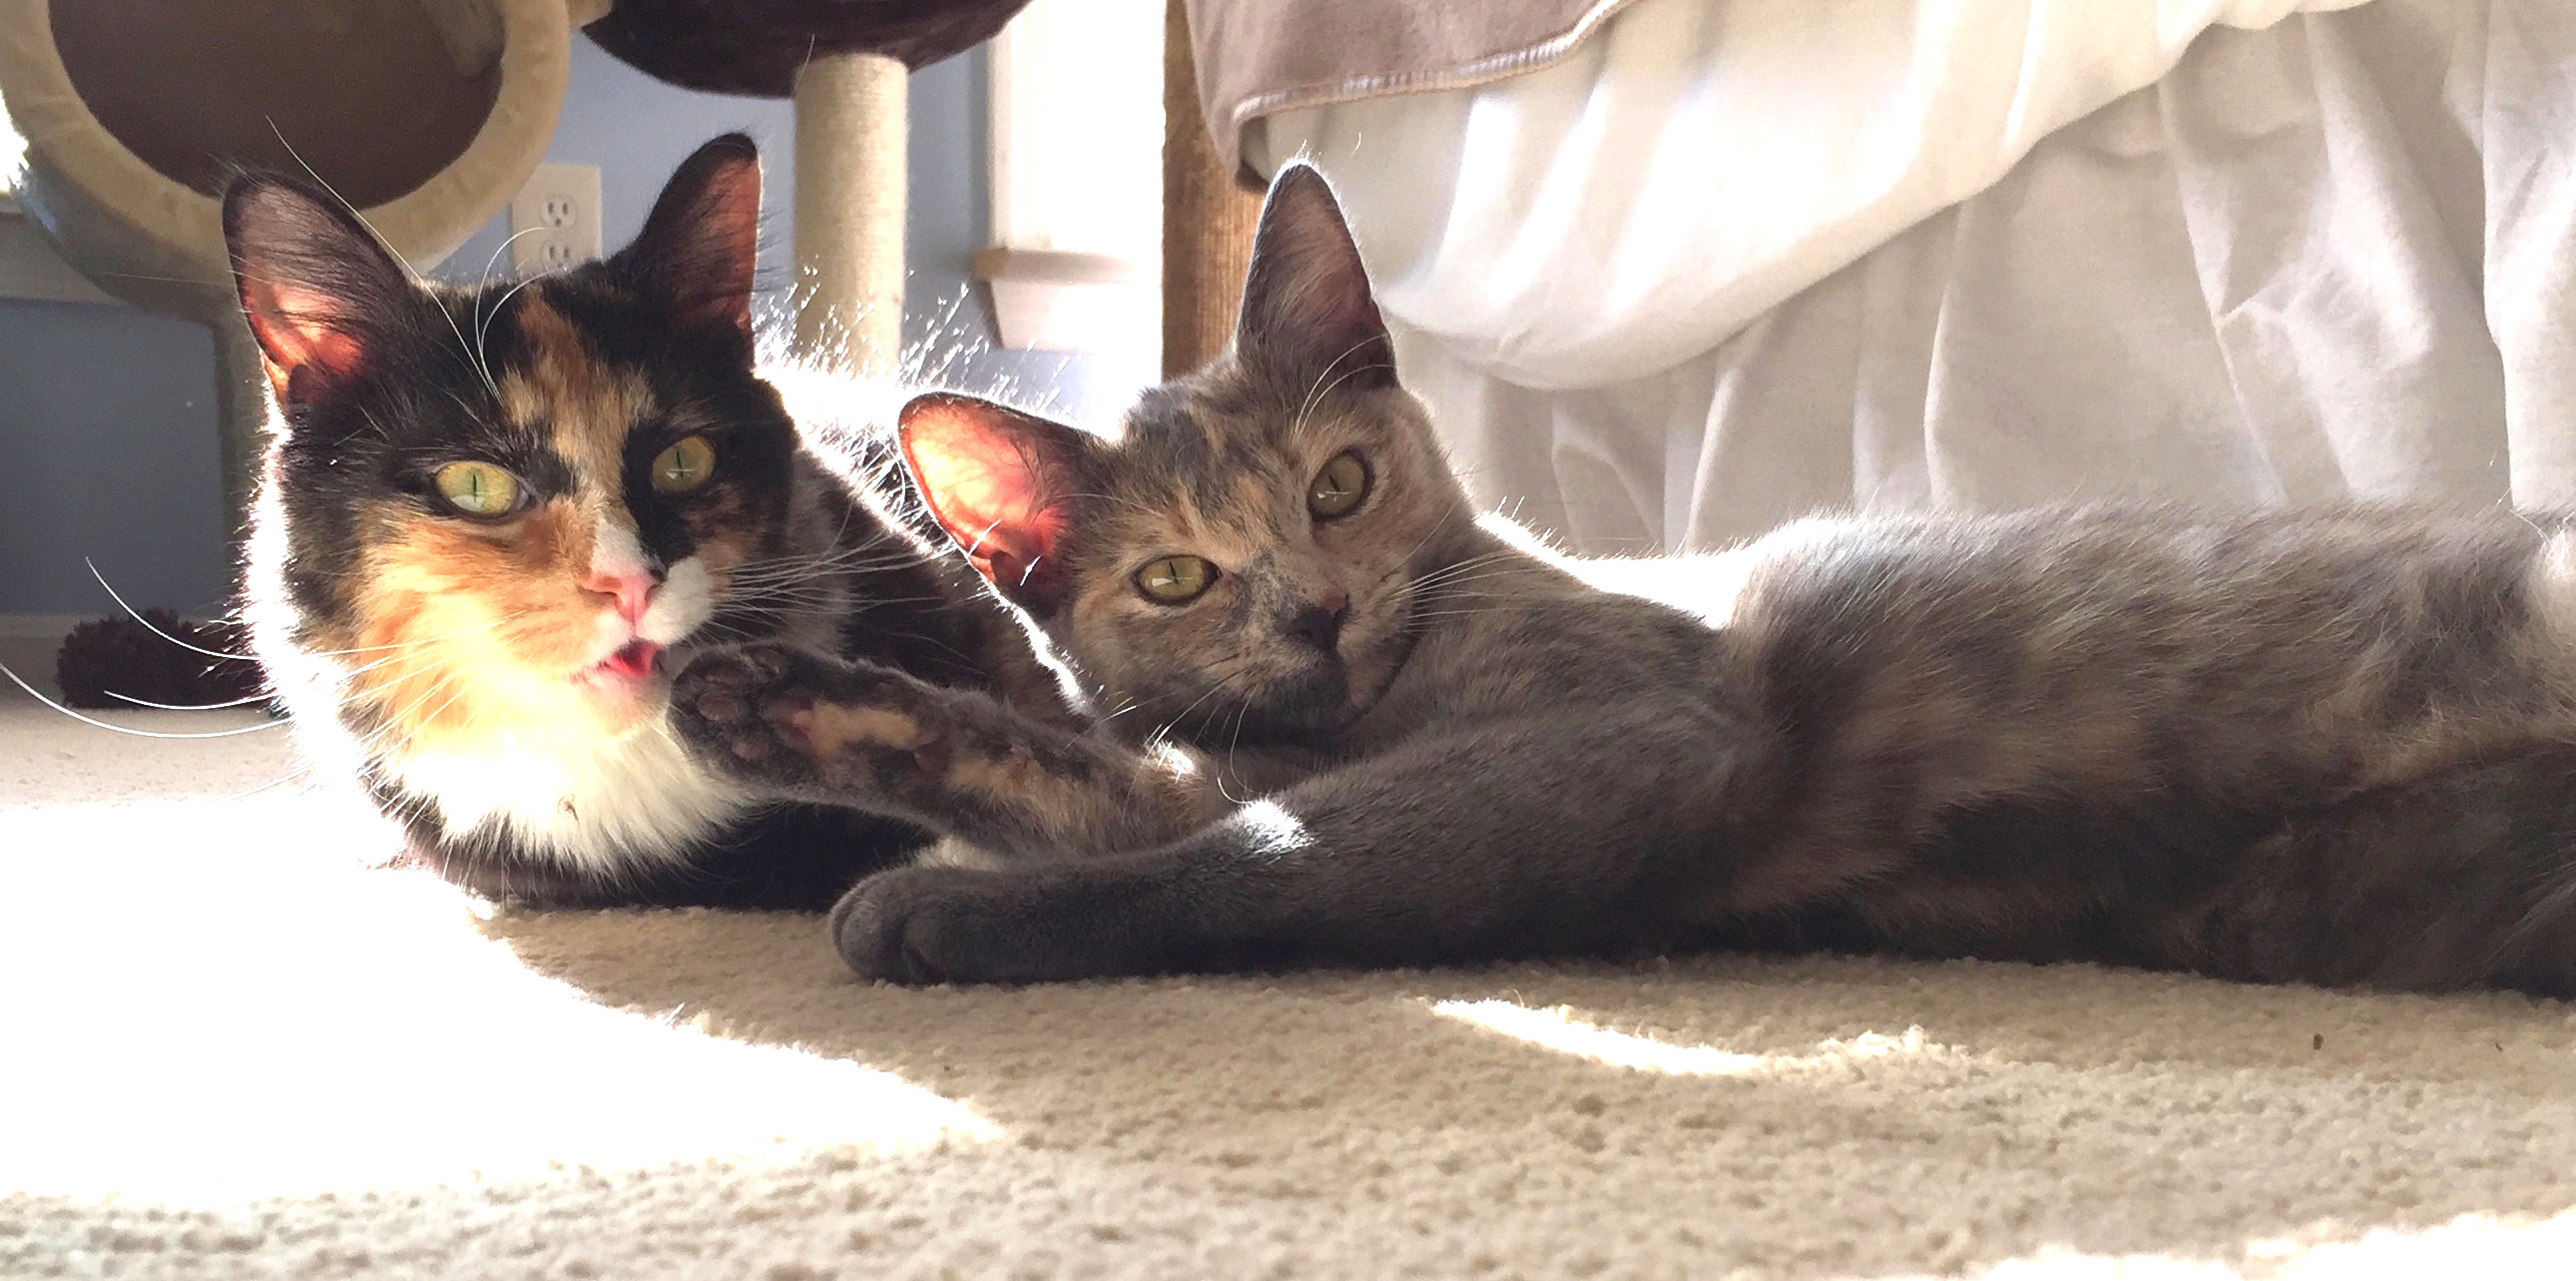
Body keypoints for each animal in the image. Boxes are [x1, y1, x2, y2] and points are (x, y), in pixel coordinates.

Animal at [675, 165, 2576, 994]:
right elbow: (1090, 770)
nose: (1315, 607)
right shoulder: (1250, 750)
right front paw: (777, 703)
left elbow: (1258, 858)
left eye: (1338, 483)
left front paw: (951, 912)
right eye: (1176, 576)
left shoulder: (1646, 730)